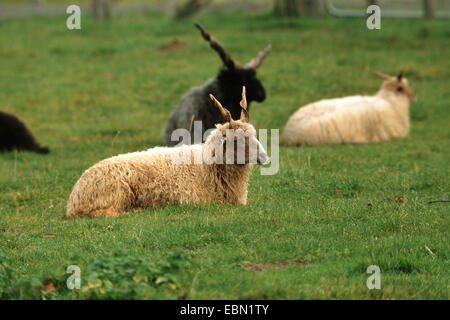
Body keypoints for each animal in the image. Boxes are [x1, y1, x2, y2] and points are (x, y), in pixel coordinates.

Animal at [67, 87, 268, 218]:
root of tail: (73, 200)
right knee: (107, 213)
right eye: (236, 139)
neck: (205, 166)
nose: (264, 157)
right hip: (115, 194)